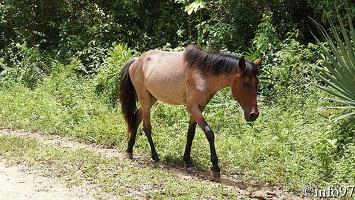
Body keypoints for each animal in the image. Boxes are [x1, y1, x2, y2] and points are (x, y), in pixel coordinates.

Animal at [119, 45, 262, 180]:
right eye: (244, 83)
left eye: (257, 83)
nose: (253, 115)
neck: (203, 74)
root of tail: (136, 61)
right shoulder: (192, 107)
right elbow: (209, 133)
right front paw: (215, 168)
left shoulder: (198, 108)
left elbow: (191, 134)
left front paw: (188, 163)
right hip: (144, 98)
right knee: (147, 127)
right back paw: (156, 158)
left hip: (151, 98)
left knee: (137, 118)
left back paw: (129, 150)